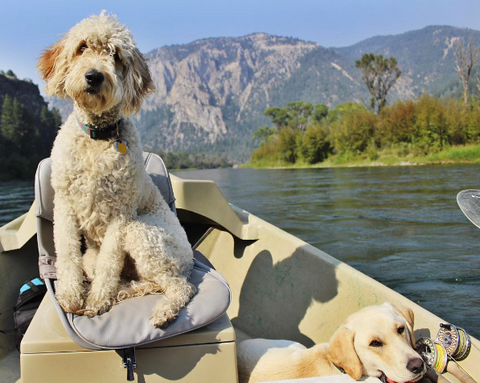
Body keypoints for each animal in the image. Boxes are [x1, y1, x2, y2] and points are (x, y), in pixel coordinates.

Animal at [37, 11, 195, 328]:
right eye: (82, 47)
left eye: (116, 55)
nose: (94, 76)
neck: (97, 137)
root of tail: (191, 259)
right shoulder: (64, 204)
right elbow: (67, 253)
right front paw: (71, 295)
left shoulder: (121, 214)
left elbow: (110, 263)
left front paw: (98, 299)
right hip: (99, 257)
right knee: (149, 281)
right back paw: (125, 290)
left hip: (142, 234)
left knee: (180, 286)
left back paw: (161, 310)